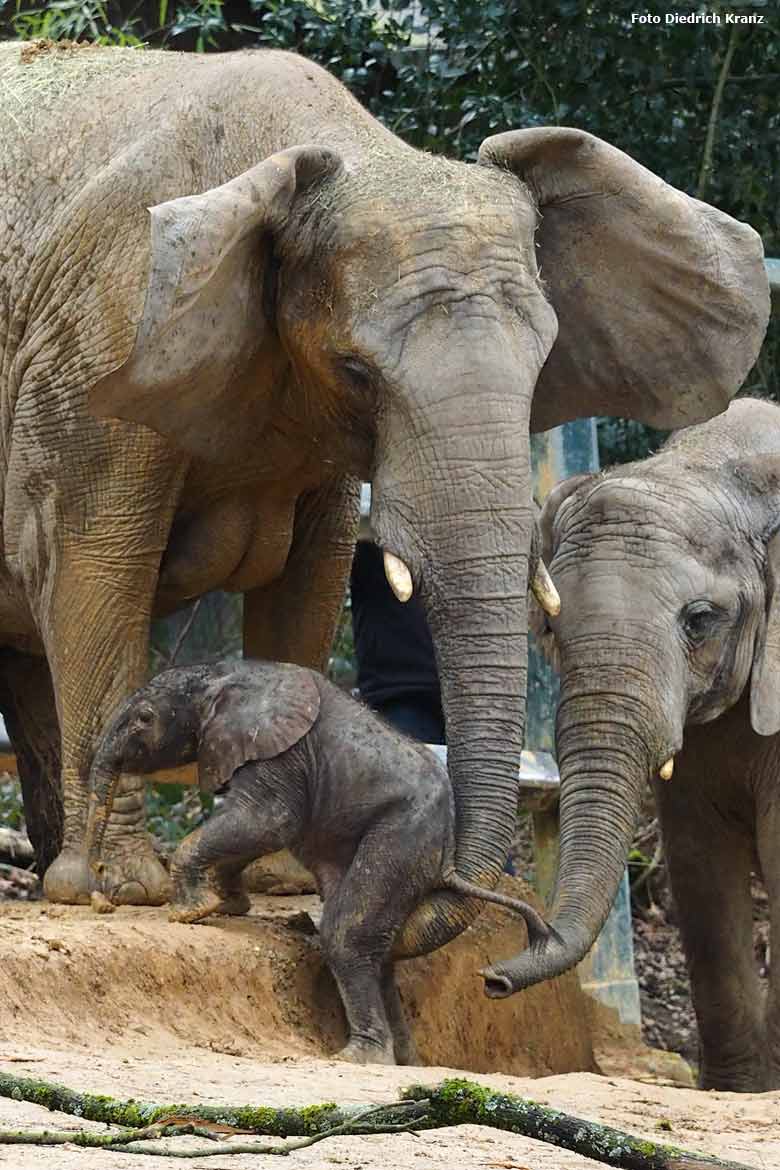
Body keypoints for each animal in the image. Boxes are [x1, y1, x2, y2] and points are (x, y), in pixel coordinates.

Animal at [0, 43, 767, 921]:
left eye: (545, 364)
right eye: (356, 369)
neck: (347, 147)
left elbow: (310, 586)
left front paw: (285, 879)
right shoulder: (99, 344)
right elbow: (92, 571)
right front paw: (118, 891)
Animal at [85, 664, 549, 1067]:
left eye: (144, 718)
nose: (99, 896)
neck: (220, 675)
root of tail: (449, 854)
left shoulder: (278, 754)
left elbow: (266, 822)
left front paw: (189, 913)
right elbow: (258, 829)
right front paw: (227, 905)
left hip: (403, 837)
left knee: (347, 934)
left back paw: (359, 1058)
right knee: (377, 947)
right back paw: (403, 1061)